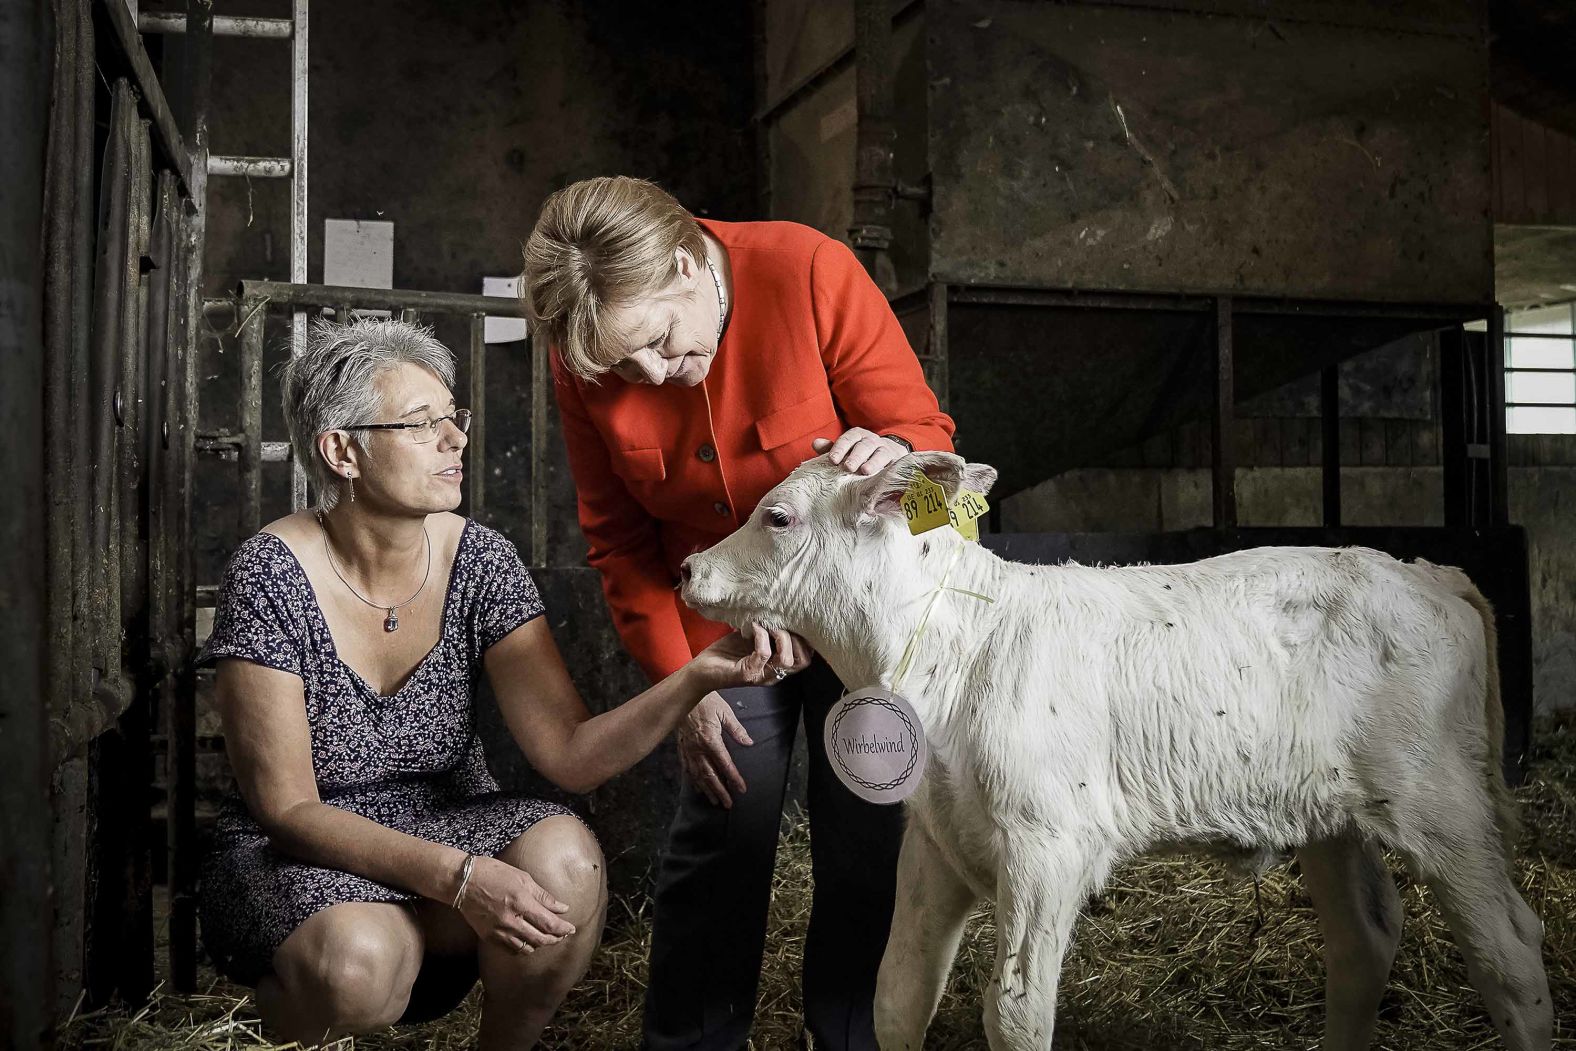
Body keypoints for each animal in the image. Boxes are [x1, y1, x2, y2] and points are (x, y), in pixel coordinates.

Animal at [677, 453, 1550, 1051]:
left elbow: (1016, 1010)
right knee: (1365, 942)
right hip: (1331, 814)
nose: (688, 567)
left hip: (1440, 798)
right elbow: (898, 994)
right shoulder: (937, 836)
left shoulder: (1047, 842)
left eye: (777, 516)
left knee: (1511, 954)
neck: (956, 650)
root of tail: (1431, 571)